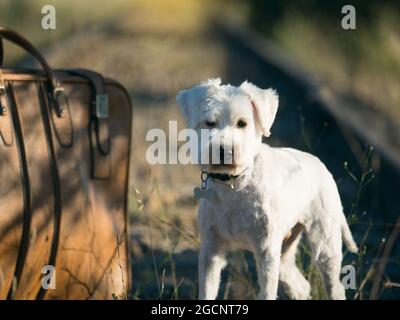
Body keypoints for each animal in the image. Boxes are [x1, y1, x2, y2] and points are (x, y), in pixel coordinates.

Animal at [177, 78, 358, 300]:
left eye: (242, 123)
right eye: (210, 123)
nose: (224, 150)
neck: (235, 185)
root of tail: (322, 166)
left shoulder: (266, 252)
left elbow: (267, 292)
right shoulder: (211, 251)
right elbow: (207, 292)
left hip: (325, 243)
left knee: (334, 285)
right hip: (286, 250)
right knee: (301, 285)